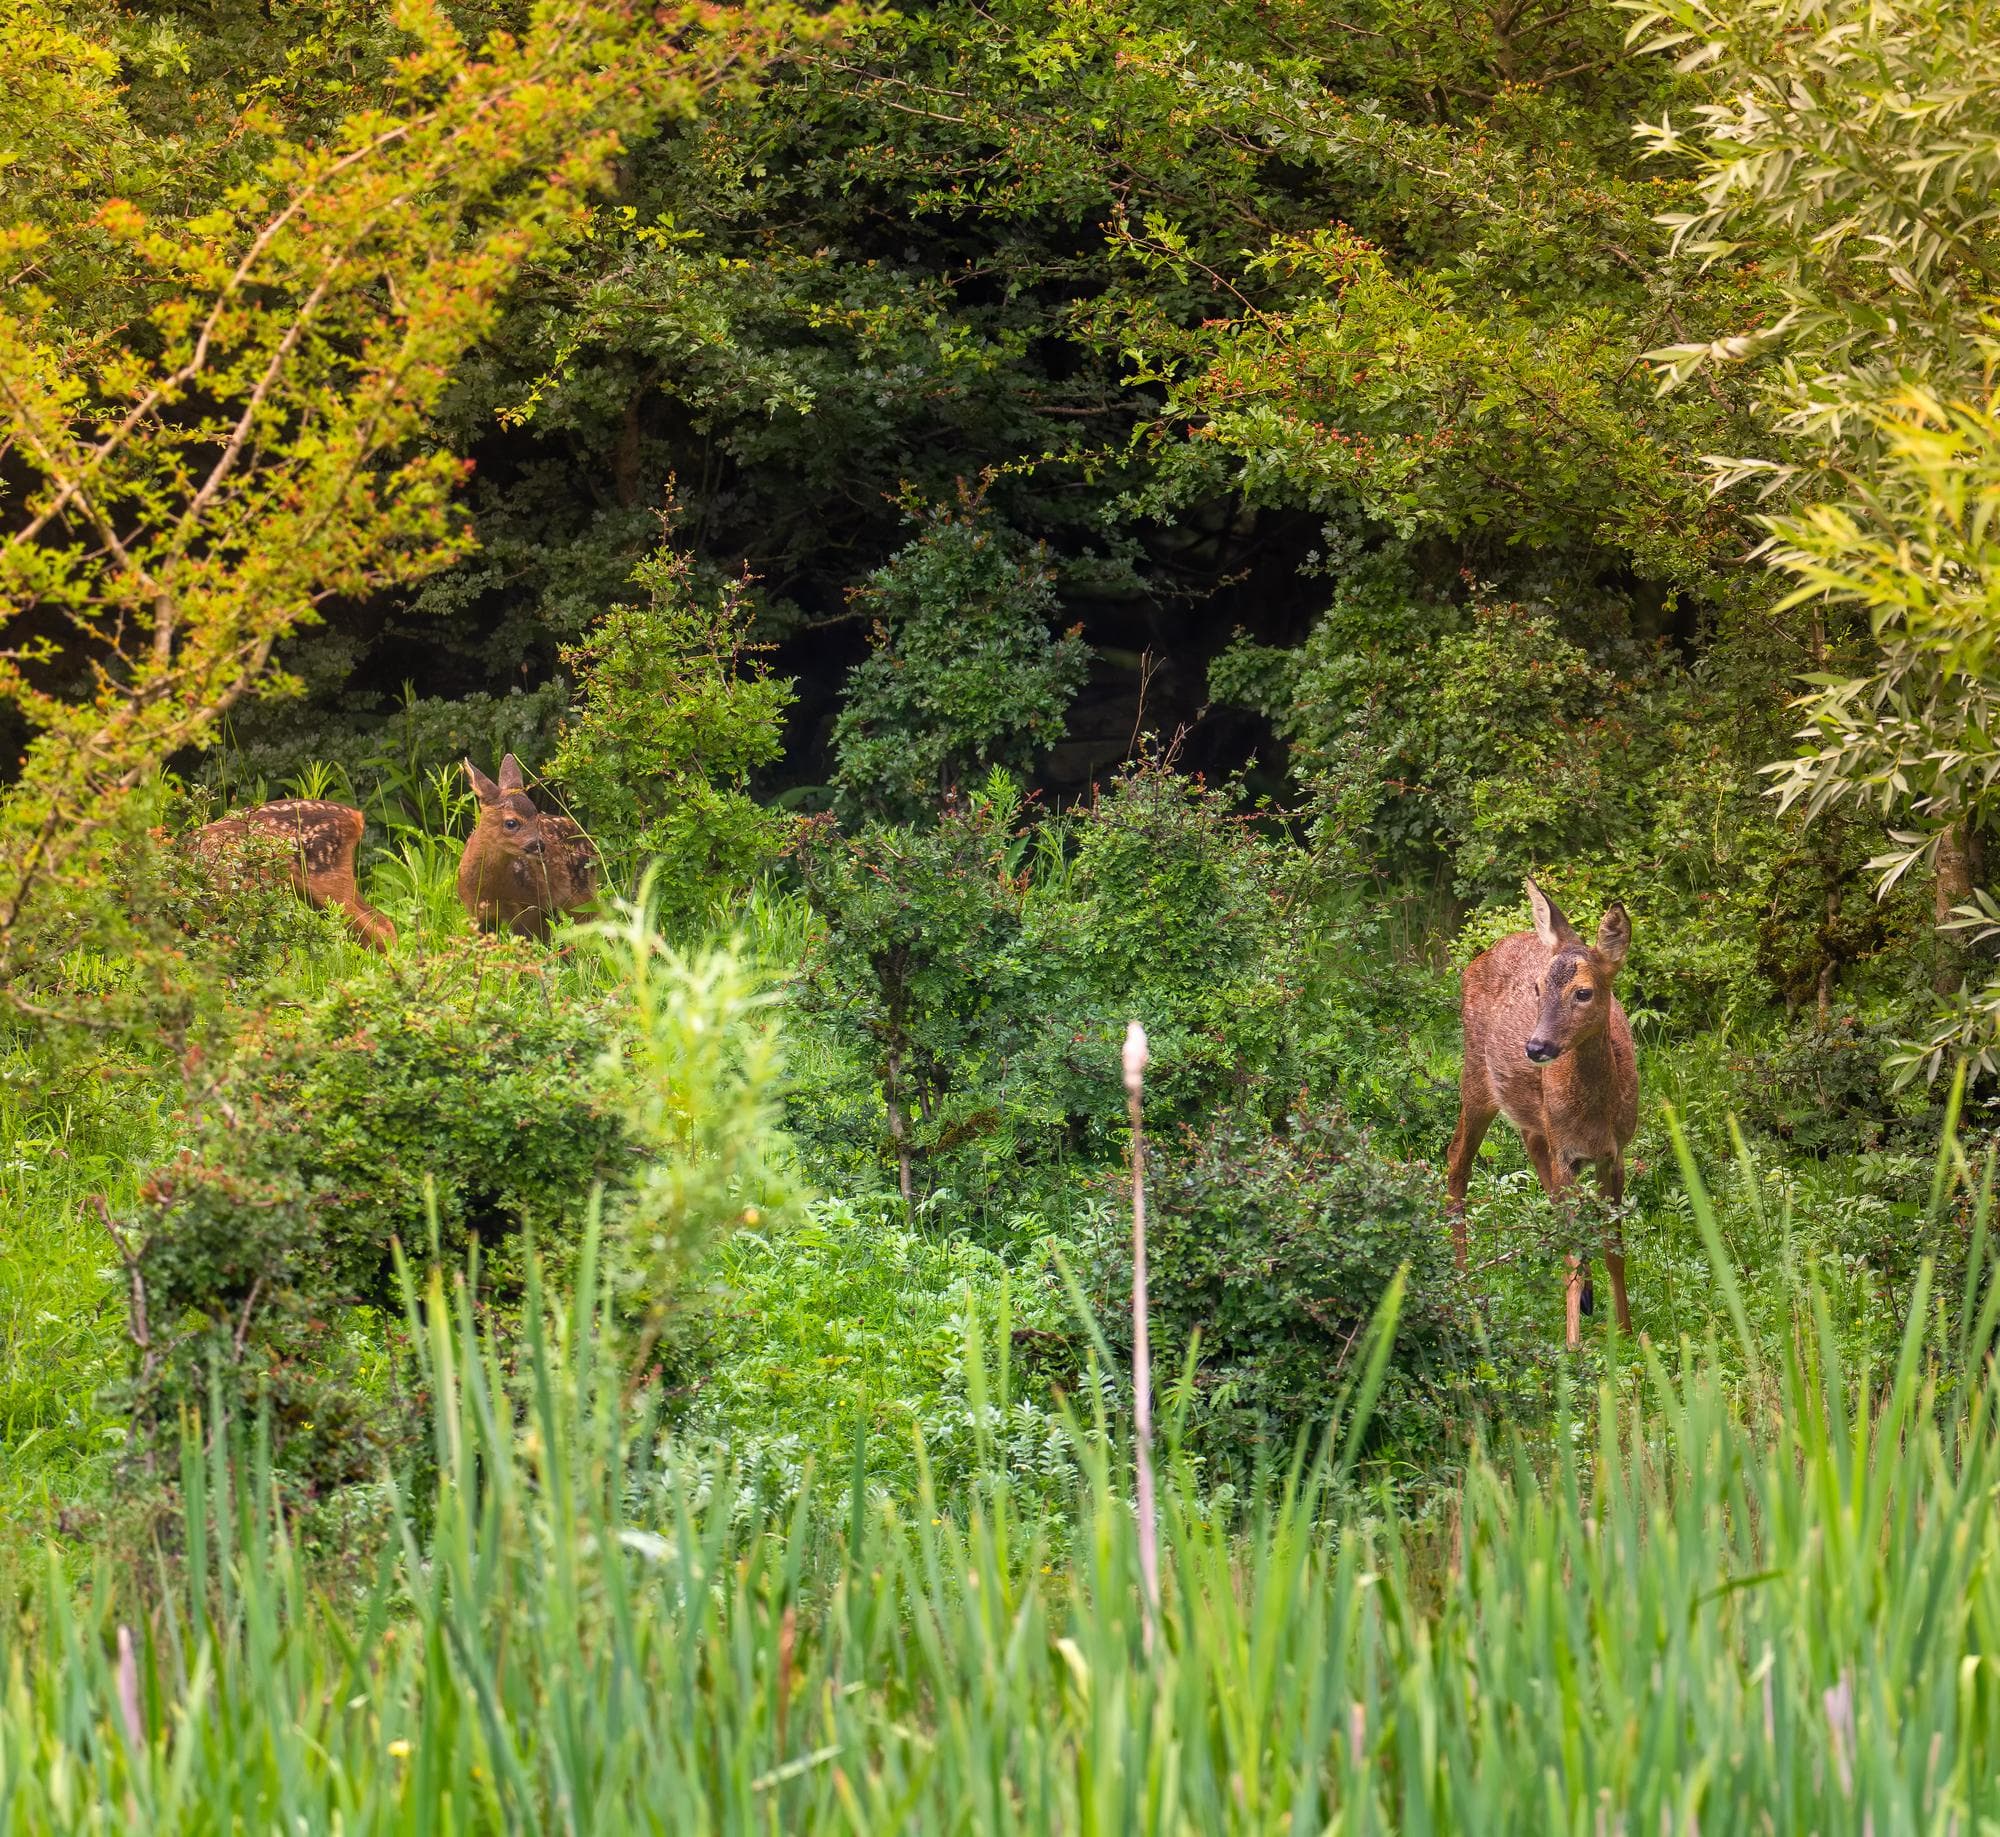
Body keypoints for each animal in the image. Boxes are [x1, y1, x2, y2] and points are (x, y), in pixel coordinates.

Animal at [458, 754, 598, 939]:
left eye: (536, 817)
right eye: (511, 823)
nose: (540, 845)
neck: (490, 889)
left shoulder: (529, 907)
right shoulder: (477, 912)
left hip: (581, 892)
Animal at [1446, 878, 1637, 1349]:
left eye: (1583, 992)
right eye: (1536, 988)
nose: (1535, 1047)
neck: (1596, 1115)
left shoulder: (1614, 1153)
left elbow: (1614, 1247)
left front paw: (1624, 1331)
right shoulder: (1566, 1149)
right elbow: (1572, 1243)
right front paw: (1573, 1346)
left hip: (1534, 1124)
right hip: (1476, 1079)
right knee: (1456, 1161)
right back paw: (1464, 1286)